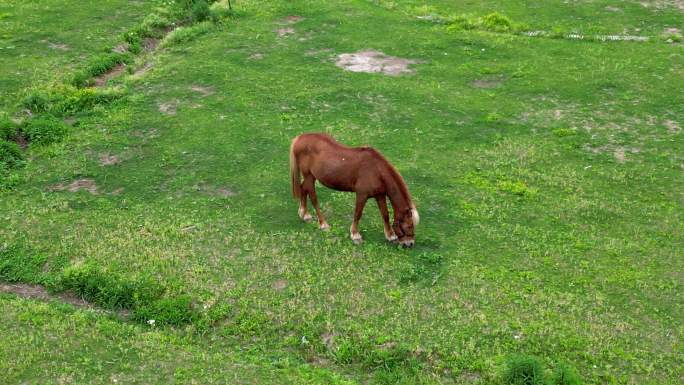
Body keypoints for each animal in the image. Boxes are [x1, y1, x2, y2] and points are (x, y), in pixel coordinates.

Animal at [288, 132, 416, 246]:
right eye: (409, 225)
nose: (410, 244)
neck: (376, 170)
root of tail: (299, 138)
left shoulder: (380, 195)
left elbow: (385, 214)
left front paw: (390, 235)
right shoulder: (362, 195)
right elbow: (358, 214)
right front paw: (355, 235)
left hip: (311, 177)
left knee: (303, 188)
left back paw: (304, 214)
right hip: (309, 176)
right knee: (313, 197)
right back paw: (323, 224)